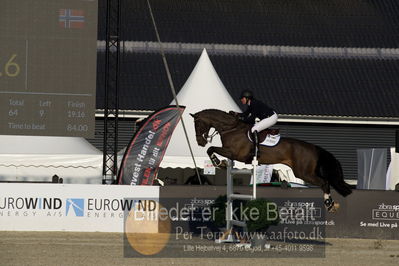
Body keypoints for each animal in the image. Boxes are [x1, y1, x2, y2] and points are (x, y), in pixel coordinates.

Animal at [192, 108, 352, 212]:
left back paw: (329, 204)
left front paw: (219, 163)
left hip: (303, 173)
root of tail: (314, 148)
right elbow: (211, 149)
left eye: (197, 124)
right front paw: (221, 163)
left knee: (324, 183)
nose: (200, 142)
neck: (231, 128)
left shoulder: (233, 153)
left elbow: (211, 149)